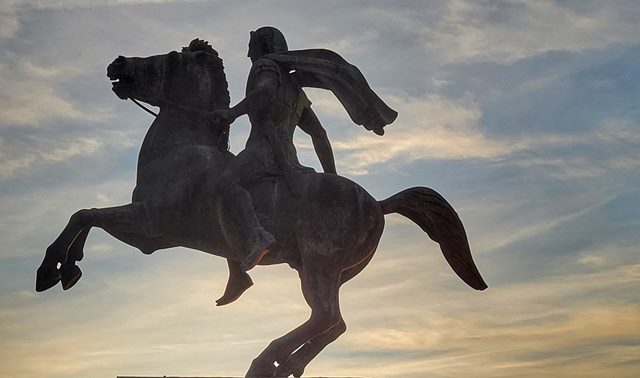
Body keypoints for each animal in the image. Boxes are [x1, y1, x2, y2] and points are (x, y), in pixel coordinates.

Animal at [35, 39, 484, 378]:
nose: (118, 63)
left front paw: (54, 269)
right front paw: (64, 269)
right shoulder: (148, 226)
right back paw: (282, 362)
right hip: (317, 269)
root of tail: (377, 203)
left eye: (170, 58)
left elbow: (85, 214)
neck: (182, 148)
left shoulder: (151, 227)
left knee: (325, 317)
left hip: (319, 263)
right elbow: (85, 216)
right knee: (334, 322)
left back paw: (266, 360)